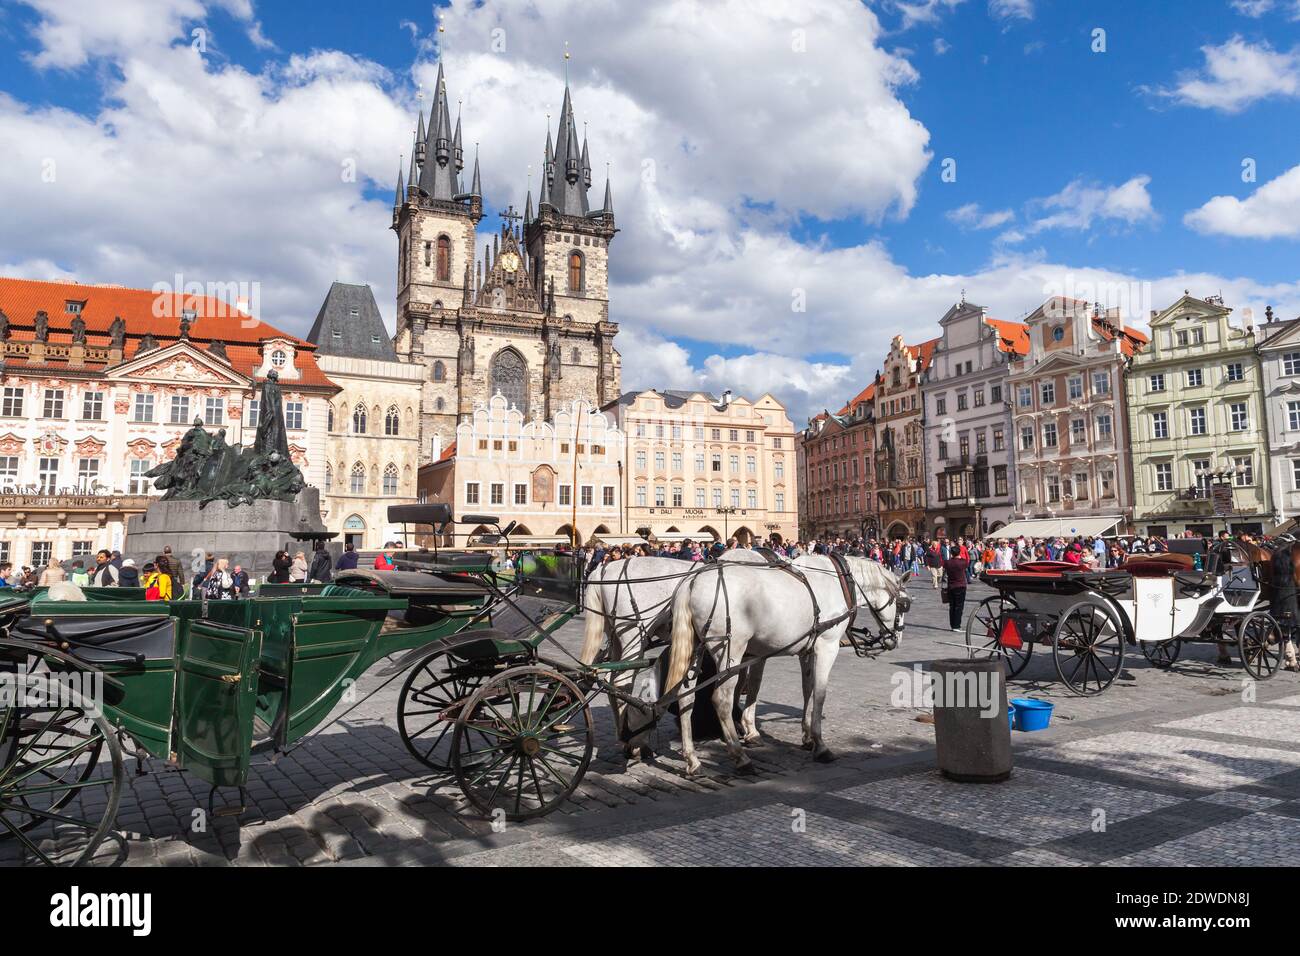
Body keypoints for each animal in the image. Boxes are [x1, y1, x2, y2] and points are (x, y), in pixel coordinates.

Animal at [665, 556, 909, 775]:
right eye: (904, 605)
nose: (896, 639)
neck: (840, 583)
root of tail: (693, 581)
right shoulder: (827, 646)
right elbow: (820, 694)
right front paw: (820, 745)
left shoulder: (807, 650)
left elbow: (807, 689)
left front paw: (807, 736)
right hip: (730, 652)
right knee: (721, 700)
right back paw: (740, 758)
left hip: (695, 648)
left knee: (686, 697)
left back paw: (692, 760)